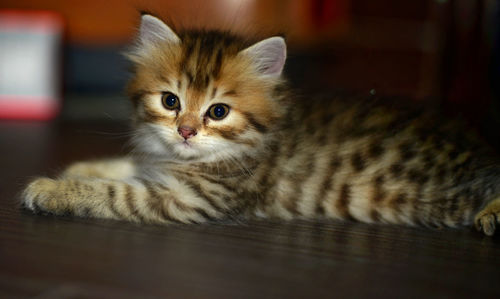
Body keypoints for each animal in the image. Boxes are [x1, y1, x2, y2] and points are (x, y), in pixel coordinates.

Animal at [21, 14, 500, 237]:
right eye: (170, 101)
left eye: (217, 112)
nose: (186, 132)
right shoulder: (161, 166)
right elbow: (127, 165)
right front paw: (81, 168)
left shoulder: (191, 199)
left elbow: (115, 194)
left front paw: (51, 189)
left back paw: (491, 217)